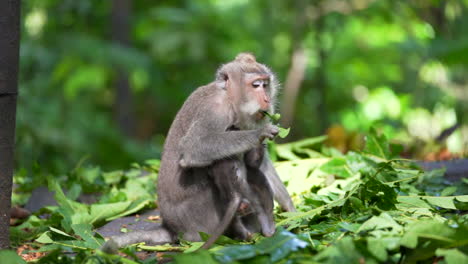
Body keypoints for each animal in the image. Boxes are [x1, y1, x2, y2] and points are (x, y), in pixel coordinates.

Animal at [102, 52, 294, 253]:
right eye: (256, 85)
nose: (267, 100)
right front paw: (259, 133)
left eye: (266, 84)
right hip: (200, 221)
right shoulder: (214, 111)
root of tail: (171, 228)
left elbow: (259, 164)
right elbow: (193, 147)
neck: (229, 99)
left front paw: (293, 211)